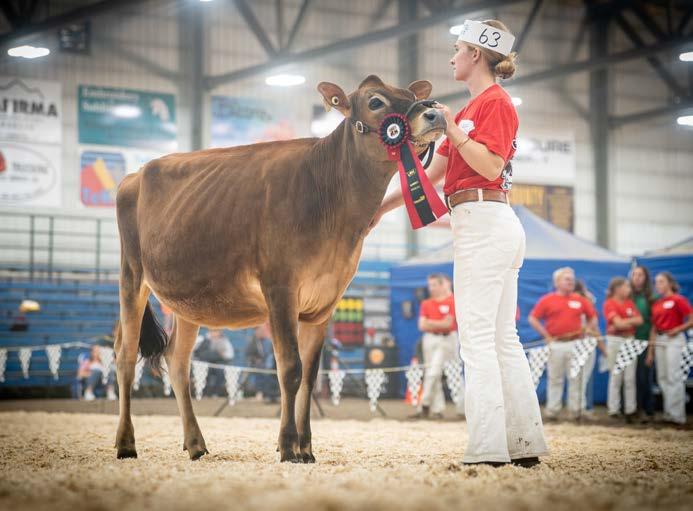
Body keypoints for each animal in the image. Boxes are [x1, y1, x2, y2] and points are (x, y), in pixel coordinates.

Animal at [113, 75, 446, 463]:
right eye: (376, 101)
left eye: (409, 94)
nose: (434, 113)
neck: (330, 197)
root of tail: (136, 174)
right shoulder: (280, 289)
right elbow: (289, 369)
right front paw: (288, 447)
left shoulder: (324, 303)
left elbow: (310, 376)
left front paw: (307, 449)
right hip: (132, 277)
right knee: (124, 355)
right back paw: (126, 443)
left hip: (188, 302)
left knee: (177, 360)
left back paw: (195, 444)